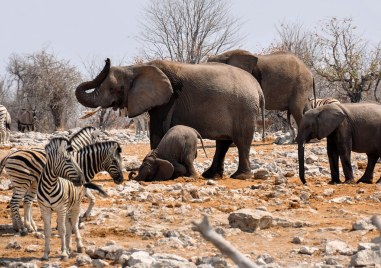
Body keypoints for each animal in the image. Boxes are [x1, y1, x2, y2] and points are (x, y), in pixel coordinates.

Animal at [75, 58, 262, 180]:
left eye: (114, 88)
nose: (107, 60)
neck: (136, 68)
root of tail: (257, 87)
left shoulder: (168, 99)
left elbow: (157, 131)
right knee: (223, 142)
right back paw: (211, 175)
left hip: (245, 109)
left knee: (241, 141)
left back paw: (240, 176)